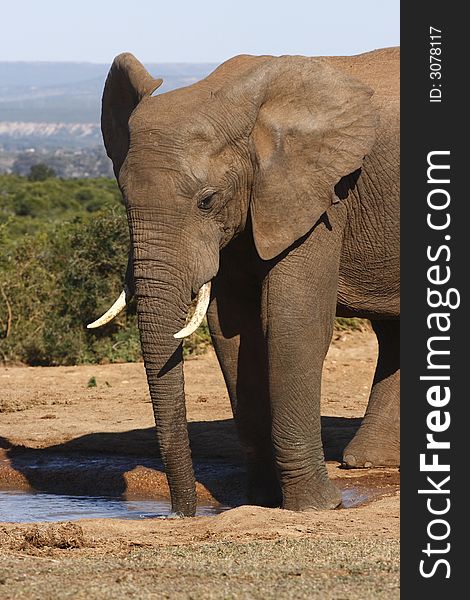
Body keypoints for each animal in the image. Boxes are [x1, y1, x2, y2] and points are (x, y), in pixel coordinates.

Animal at [89, 48, 400, 516]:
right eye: (125, 199)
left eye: (207, 200)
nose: (182, 514)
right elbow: (234, 332)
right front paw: (259, 502)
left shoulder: (322, 196)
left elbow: (293, 325)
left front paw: (316, 507)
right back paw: (368, 461)